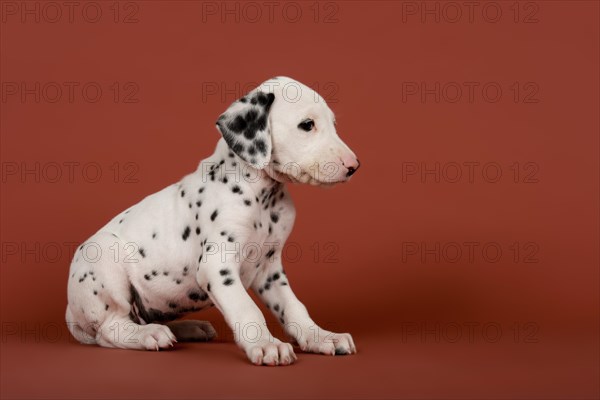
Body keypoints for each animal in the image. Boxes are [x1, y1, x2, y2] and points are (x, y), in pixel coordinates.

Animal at [65, 76, 358, 366]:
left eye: (333, 124)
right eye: (307, 125)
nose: (354, 165)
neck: (263, 198)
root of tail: (71, 313)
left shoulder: (270, 270)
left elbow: (294, 307)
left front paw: (321, 336)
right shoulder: (218, 266)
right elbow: (247, 309)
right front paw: (266, 345)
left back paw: (186, 328)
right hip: (104, 260)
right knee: (111, 329)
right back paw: (150, 334)